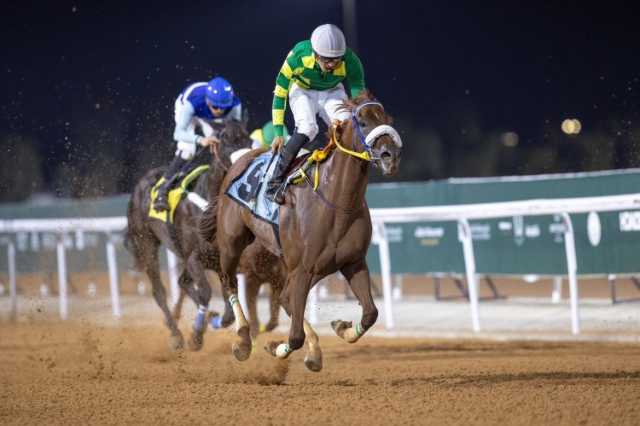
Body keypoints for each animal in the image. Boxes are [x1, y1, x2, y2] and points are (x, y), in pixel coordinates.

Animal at [125, 120, 284, 350]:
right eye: (224, 140)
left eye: (247, 139)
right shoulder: (195, 258)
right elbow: (206, 293)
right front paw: (197, 335)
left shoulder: (220, 261)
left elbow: (226, 309)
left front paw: (213, 320)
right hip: (146, 242)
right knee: (160, 291)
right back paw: (176, 334)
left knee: (182, 282)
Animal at [212, 92, 402, 370]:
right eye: (364, 122)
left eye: (387, 118)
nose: (390, 155)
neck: (336, 202)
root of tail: (242, 159)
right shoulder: (302, 268)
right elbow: (295, 336)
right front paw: (276, 347)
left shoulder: (352, 262)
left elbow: (370, 313)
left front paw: (342, 328)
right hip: (232, 242)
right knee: (229, 282)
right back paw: (243, 340)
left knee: (285, 298)